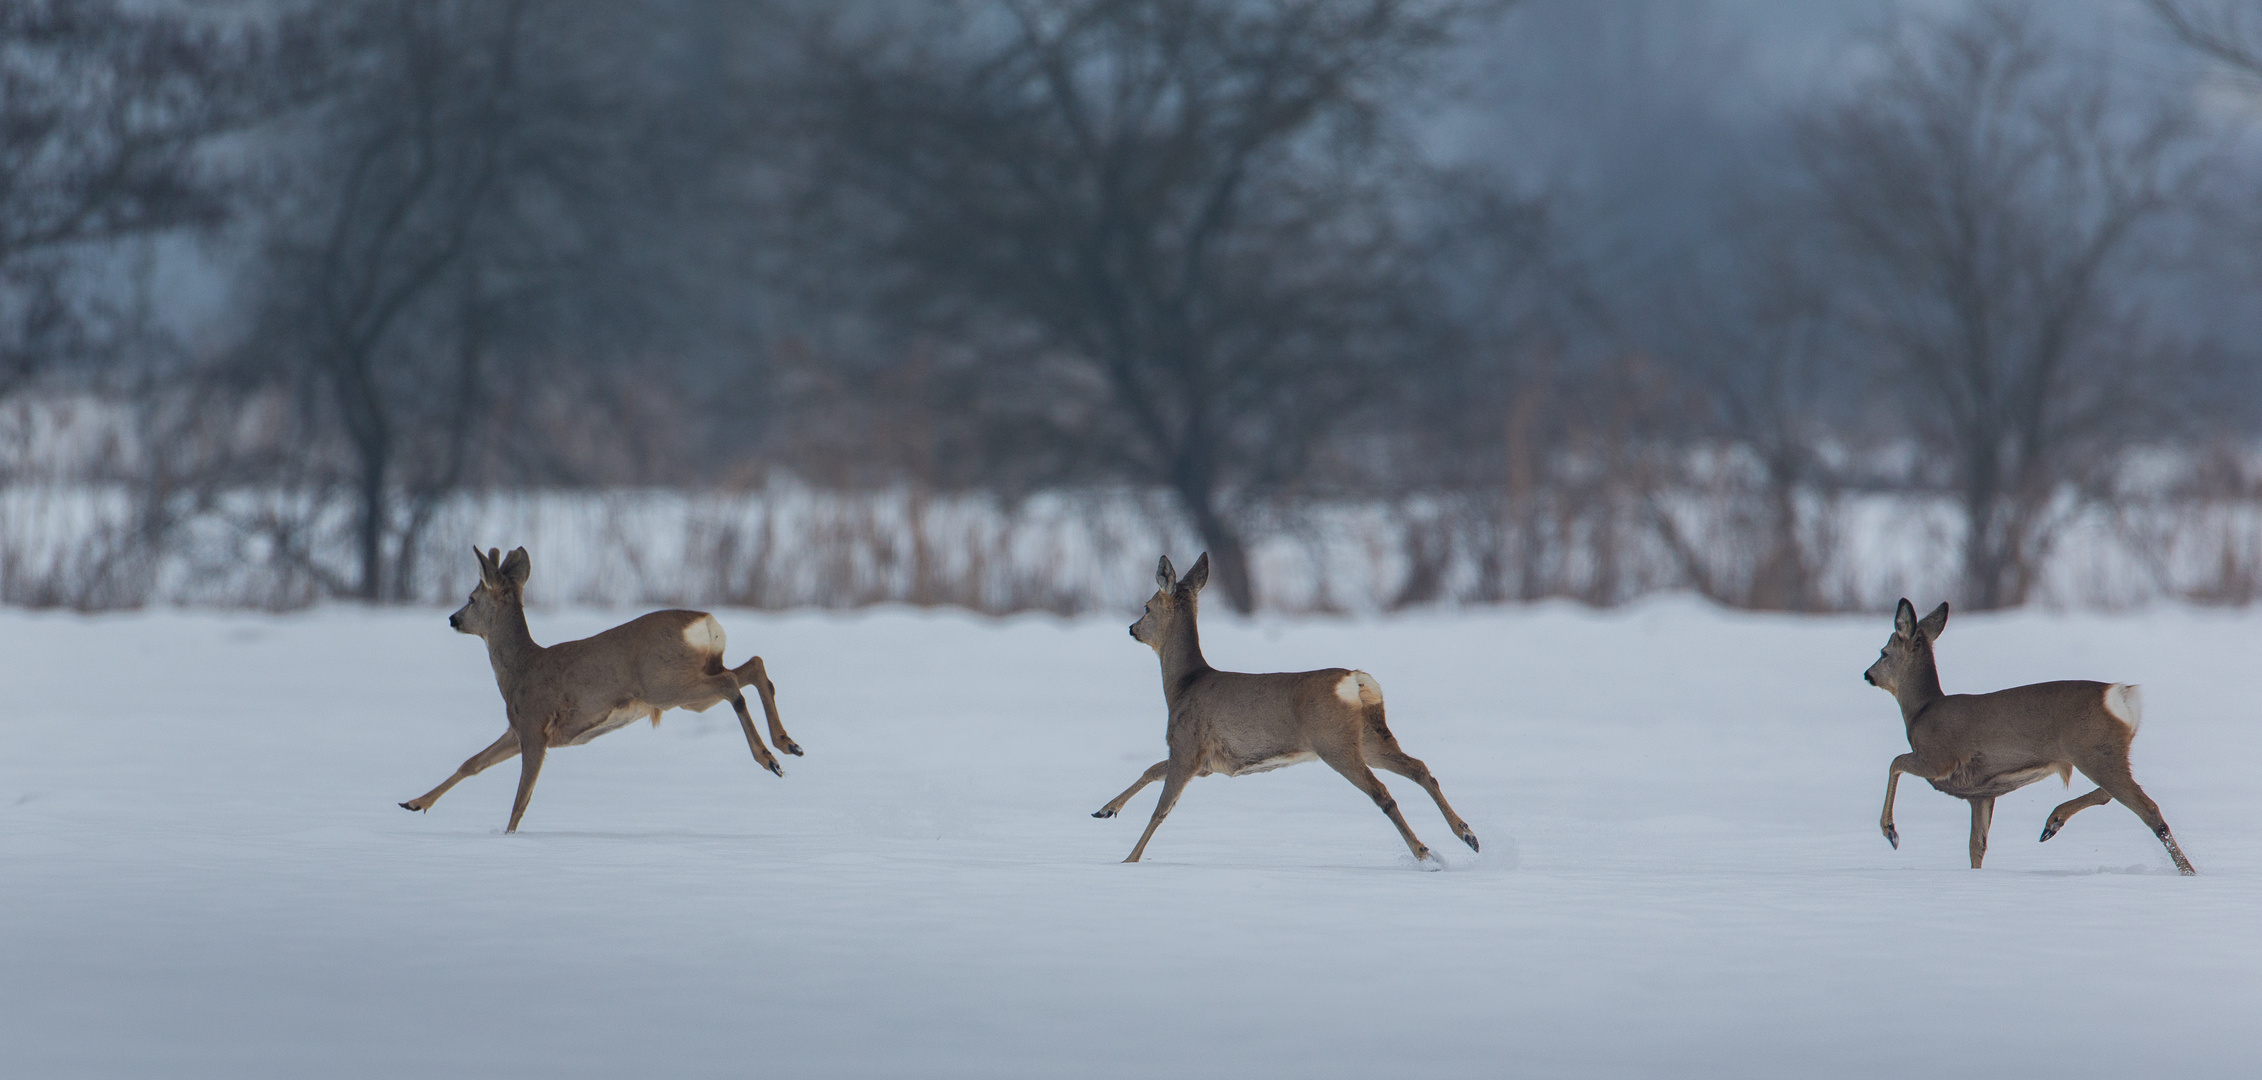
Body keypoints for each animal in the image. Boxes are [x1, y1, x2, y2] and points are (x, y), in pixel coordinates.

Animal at [400, 547, 805, 833]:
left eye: (471, 598)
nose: (453, 619)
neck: (519, 669)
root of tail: (705, 623)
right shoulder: (517, 729)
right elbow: (472, 763)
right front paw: (414, 803)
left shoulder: (534, 726)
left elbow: (521, 798)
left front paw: (508, 836)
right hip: (693, 686)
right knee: (753, 668)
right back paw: (787, 744)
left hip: (665, 684)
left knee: (732, 684)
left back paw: (768, 758)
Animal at [1094, 552, 1483, 864]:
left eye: (1146, 607)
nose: (1131, 628)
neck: (1182, 686)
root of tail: (1355, 680)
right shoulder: (1205, 762)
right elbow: (1150, 770)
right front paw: (1105, 810)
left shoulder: (1187, 746)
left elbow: (1161, 809)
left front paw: (1129, 859)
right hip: (1371, 738)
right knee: (1420, 768)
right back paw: (1467, 834)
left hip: (1334, 742)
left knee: (1382, 793)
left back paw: (1424, 852)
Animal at [1854, 597, 2189, 873]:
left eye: (1883, 652)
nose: (1867, 675)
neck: (1922, 711)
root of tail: (2120, 694)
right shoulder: (1981, 794)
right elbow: (1977, 846)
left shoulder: (1938, 759)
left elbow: (1895, 762)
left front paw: (1890, 831)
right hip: (2106, 755)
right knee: (2112, 795)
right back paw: (2052, 823)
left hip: (2094, 752)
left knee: (2148, 809)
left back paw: (2187, 871)